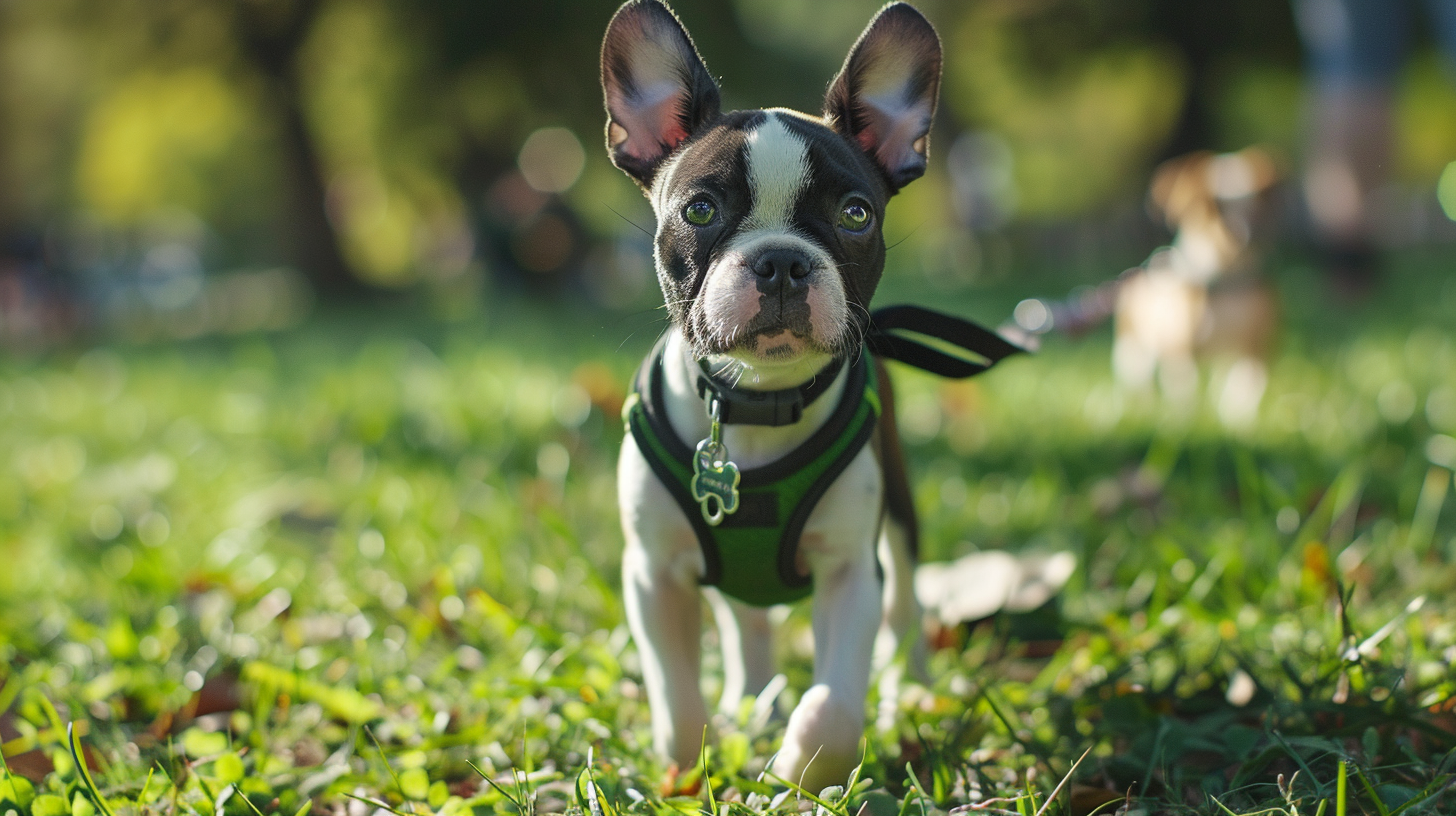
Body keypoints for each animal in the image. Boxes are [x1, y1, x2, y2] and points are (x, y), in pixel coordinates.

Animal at [602, 0, 943, 792]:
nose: (782, 261)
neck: (756, 403)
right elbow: (675, 699)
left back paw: (909, 692)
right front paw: (689, 769)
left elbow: (835, 704)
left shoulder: (851, 571)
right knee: (747, 624)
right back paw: (751, 702)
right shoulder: (653, 576)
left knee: (908, 607)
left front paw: (801, 770)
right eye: (699, 211)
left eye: (856, 215)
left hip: (900, 514)